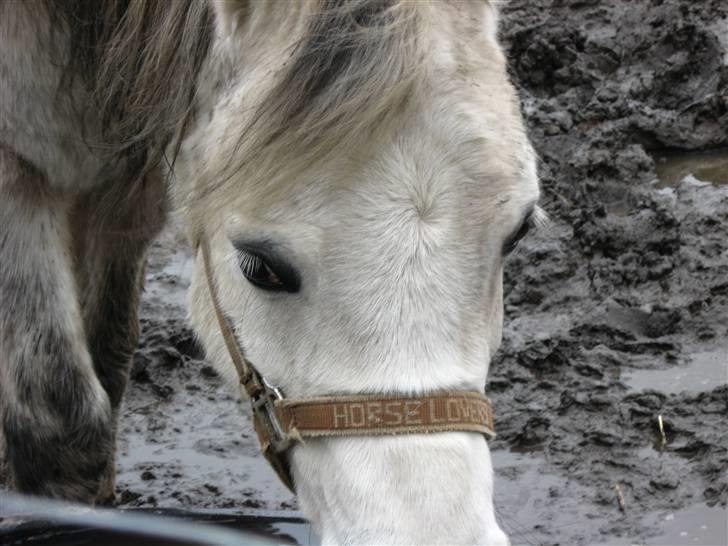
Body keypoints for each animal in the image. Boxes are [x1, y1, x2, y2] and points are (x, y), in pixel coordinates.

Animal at [0, 2, 544, 540]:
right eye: (259, 267)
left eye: (518, 231)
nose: (433, 533)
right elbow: (59, 422)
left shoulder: (130, 181)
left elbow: (110, 358)